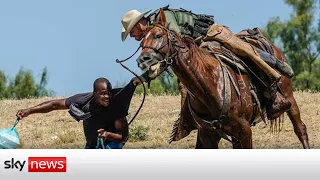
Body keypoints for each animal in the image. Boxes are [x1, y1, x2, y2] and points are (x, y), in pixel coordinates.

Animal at [138, 9, 310, 148]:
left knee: (300, 129)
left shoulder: (245, 131)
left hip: (289, 97)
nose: (142, 60)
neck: (209, 86)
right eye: (141, 42)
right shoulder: (208, 134)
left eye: (158, 35)